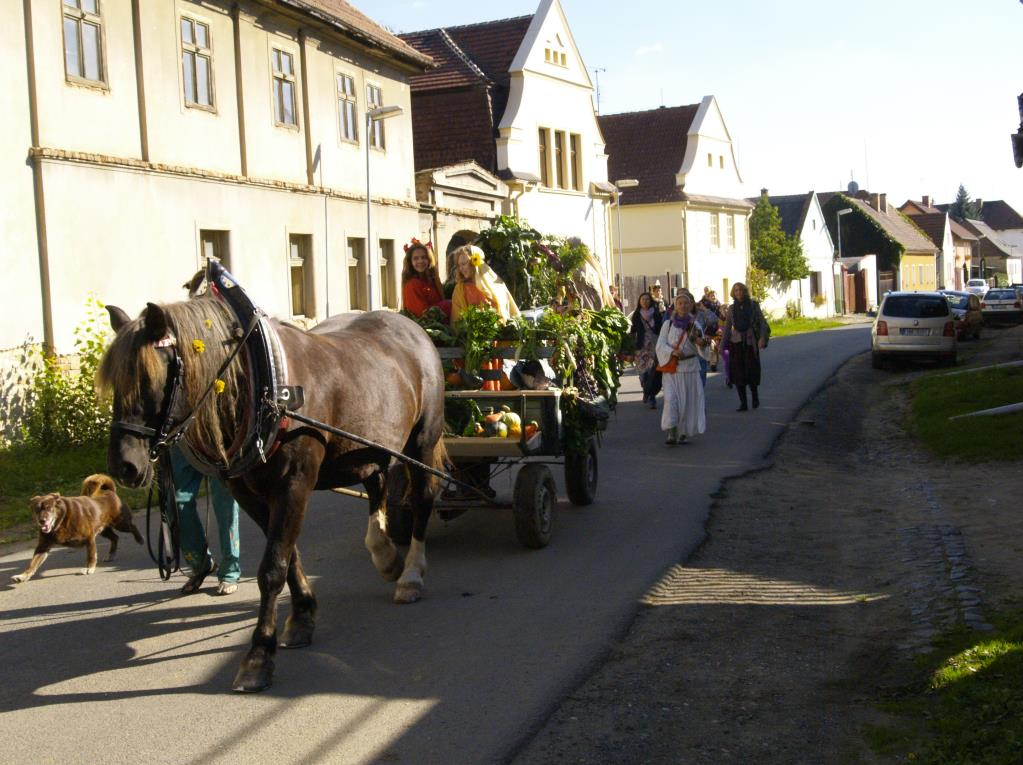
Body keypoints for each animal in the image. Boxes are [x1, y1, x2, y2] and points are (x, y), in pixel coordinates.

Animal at [10, 468, 144, 580]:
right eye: (36, 509)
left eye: (48, 508)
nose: (42, 520)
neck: (61, 521)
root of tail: (109, 491)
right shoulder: (43, 546)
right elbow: (32, 563)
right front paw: (23, 576)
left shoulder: (89, 538)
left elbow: (91, 555)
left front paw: (89, 568)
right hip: (103, 530)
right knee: (115, 537)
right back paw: (111, 555)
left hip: (120, 523)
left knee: (132, 527)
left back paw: (140, 539)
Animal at [97, 298, 446, 691]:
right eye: (115, 382)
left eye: (150, 379)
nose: (124, 467)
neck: (266, 389)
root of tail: (413, 327)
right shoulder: (247, 492)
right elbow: (288, 557)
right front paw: (303, 615)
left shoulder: (294, 486)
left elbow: (272, 568)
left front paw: (259, 654)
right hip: (368, 447)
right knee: (377, 485)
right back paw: (385, 556)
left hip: (421, 441)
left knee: (422, 498)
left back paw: (411, 574)